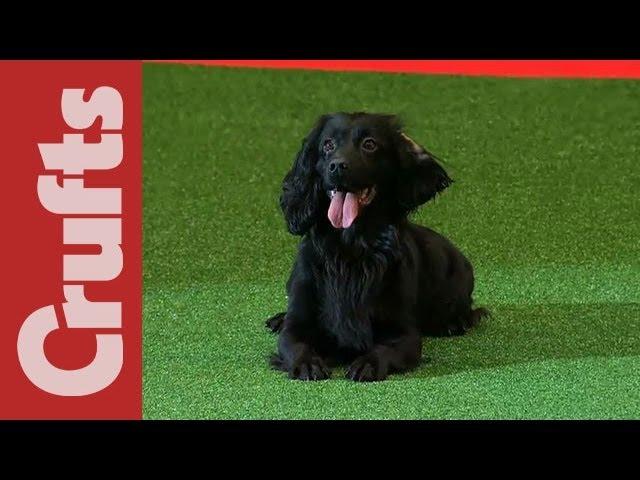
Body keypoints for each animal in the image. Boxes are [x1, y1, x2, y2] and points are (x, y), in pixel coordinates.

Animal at [264, 112, 484, 382]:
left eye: (369, 144)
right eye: (327, 145)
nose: (337, 166)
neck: (350, 247)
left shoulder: (404, 333)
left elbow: (384, 349)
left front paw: (367, 363)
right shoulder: (297, 326)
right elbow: (295, 344)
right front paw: (307, 364)